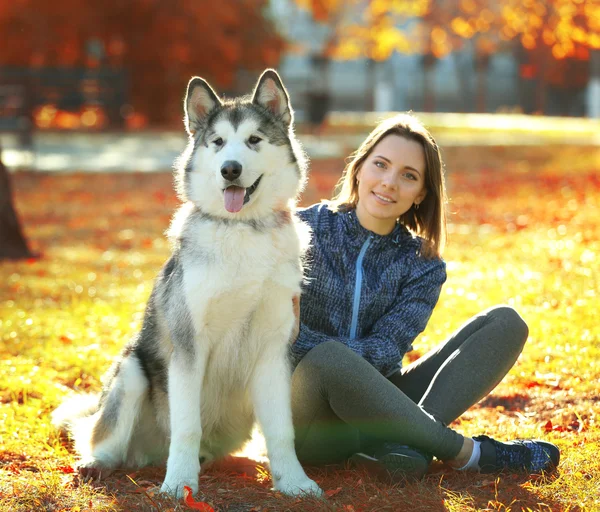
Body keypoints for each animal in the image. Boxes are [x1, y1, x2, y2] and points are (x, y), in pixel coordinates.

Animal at [51, 70, 324, 498]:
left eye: (253, 140)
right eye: (218, 142)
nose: (230, 169)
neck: (242, 230)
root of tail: (147, 456)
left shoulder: (273, 351)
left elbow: (282, 430)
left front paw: (294, 482)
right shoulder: (188, 346)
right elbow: (186, 427)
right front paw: (179, 483)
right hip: (132, 371)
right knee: (103, 438)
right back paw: (98, 463)